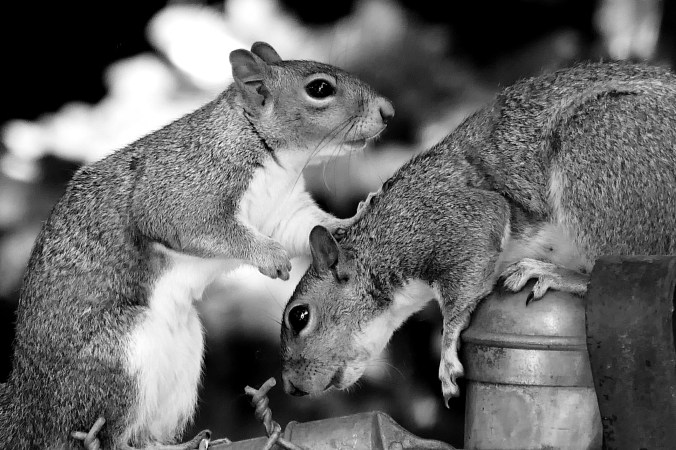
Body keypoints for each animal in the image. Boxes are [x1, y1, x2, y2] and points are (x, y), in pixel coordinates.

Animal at [0, 41, 394, 449]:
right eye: (319, 89)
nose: (387, 112)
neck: (270, 154)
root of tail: (29, 411)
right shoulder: (185, 186)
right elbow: (198, 226)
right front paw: (270, 256)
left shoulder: (283, 210)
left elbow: (307, 227)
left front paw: (353, 217)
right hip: (116, 363)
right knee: (112, 438)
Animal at [279, 61, 676, 406]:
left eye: (299, 317)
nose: (290, 387)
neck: (382, 236)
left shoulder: (452, 218)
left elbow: (461, 292)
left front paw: (447, 355)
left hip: (599, 148)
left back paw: (550, 272)